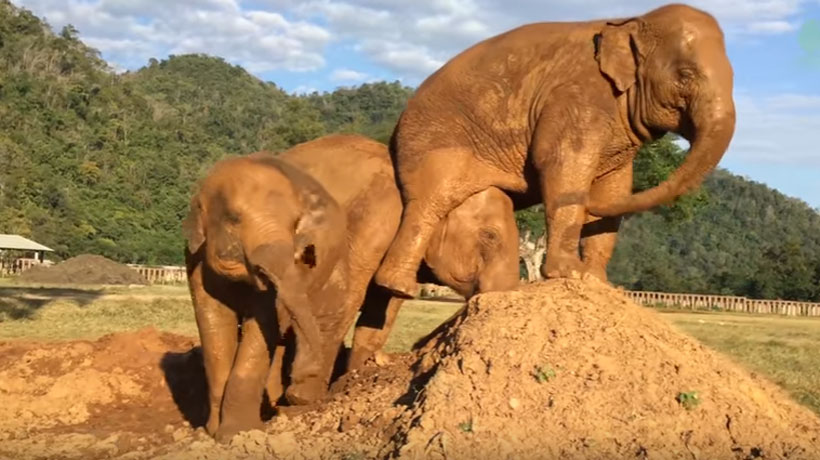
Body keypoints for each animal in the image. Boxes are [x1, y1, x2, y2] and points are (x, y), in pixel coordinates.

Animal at [373, 3, 736, 298]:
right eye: (685, 75)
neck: (629, 21)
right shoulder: (577, 98)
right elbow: (562, 165)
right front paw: (570, 273)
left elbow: (615, 186)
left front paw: (598, 283)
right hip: (433, 142)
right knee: (431, 201)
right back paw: (398, 287)